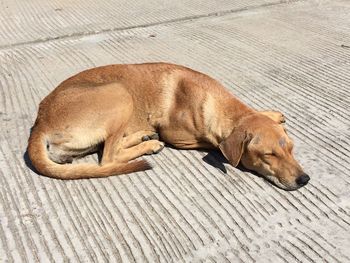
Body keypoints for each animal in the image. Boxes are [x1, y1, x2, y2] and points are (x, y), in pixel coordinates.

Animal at [28, 63, 310, 191]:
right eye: (268, 155)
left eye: (292, 149)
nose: (304, 179)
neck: (216, 102)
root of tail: (40, 123)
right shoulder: (182, 137)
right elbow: (213, 143)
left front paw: (271, 113)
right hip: (119, 93)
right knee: (108, 158)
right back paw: (150, 144)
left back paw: (144, 136)